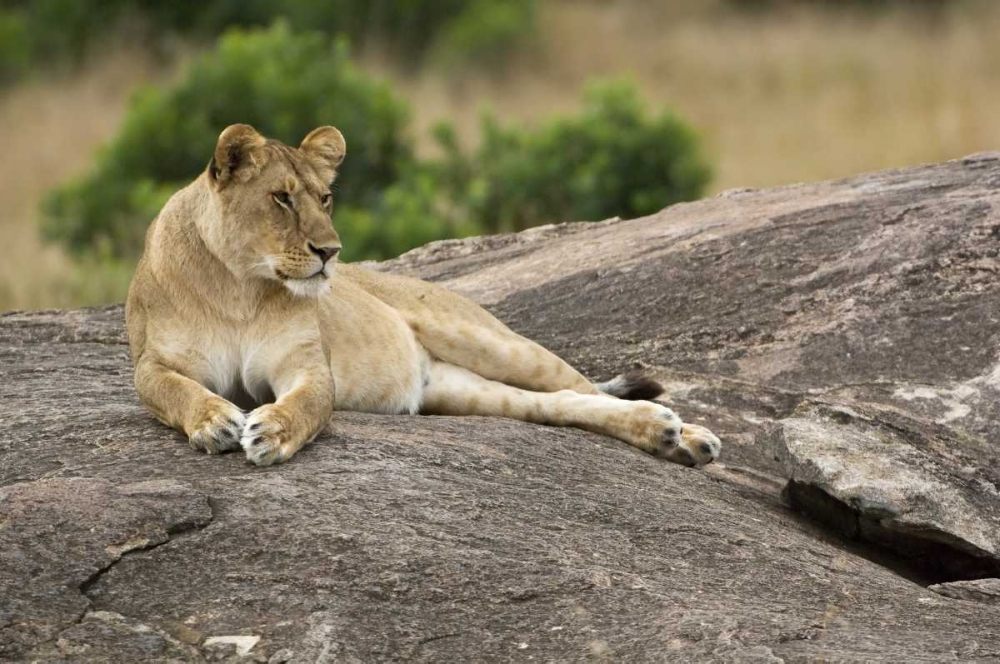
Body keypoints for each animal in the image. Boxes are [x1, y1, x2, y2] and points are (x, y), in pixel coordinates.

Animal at [125, 124, 721, 467]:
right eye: (281, 199)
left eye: (324, 198)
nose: (331, 251)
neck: (240, 285)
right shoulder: (153, 362)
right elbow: (175, 391)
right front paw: (214, 421)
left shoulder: (307, 366)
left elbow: (307, 403)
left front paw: (271, 429)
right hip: (462, 393)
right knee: (559, 404)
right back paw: (664, 436)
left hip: (494, 343)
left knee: (580, 386)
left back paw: (686, 435)